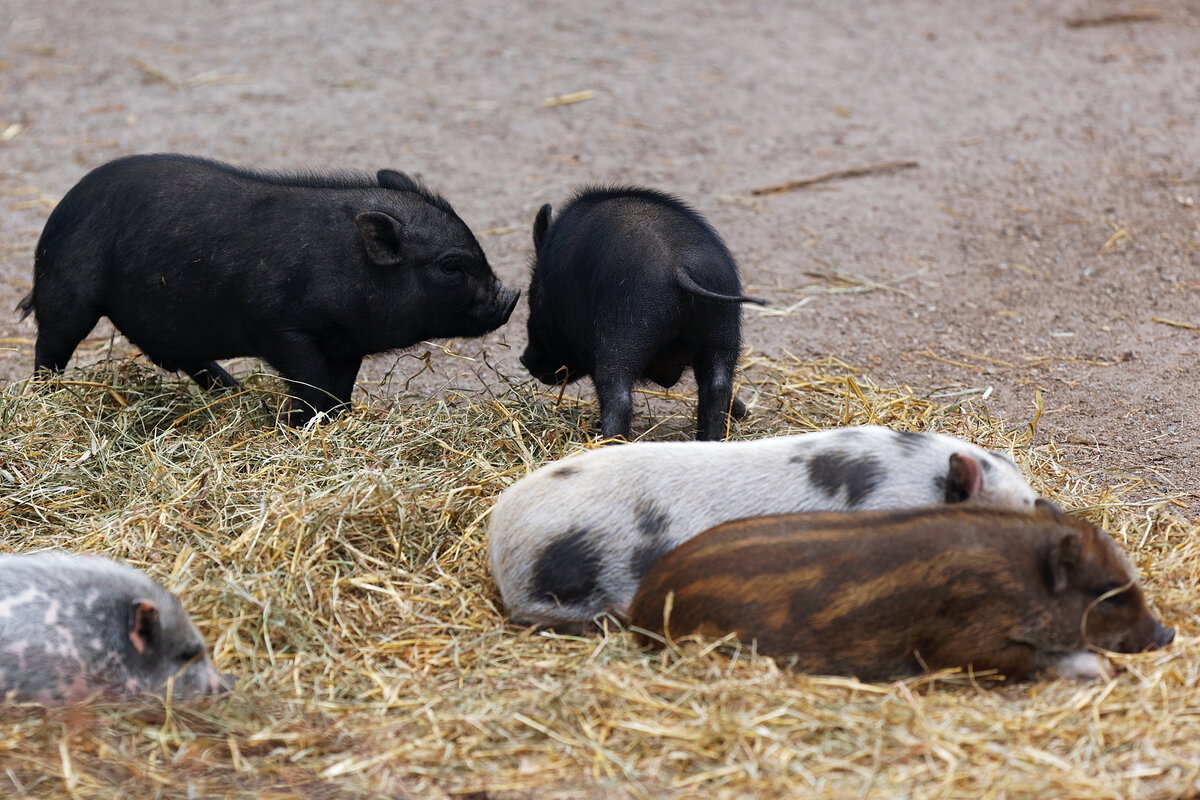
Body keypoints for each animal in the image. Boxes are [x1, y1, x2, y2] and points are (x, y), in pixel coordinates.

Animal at [18, 151, 516, 424]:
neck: (347, 264)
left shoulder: (345, 342)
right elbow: (310, 381)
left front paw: (337, 420)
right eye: (451, 266)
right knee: (48, 350)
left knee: (186, 358)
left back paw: (235, 393)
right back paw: (45, 399)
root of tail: (59, 212)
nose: (510, 296)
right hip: (65, 293)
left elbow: (339, 387)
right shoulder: (278, 328)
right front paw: (300, 424)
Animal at [523, 185, 763, 441]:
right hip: (723, 329)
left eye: (533, 297)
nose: (524, 359)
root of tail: (678, 267)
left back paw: (605, 442)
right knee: (717, 386)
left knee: (617, 397)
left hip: (624, 333)